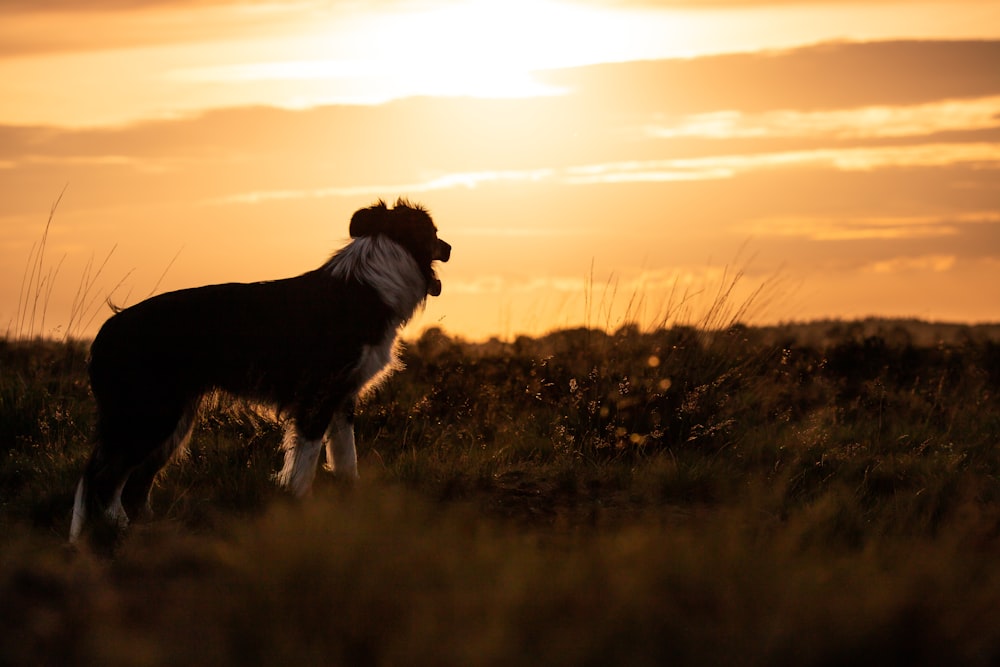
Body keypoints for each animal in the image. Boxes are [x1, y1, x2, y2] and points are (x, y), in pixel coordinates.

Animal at [72, 197, 456, 544]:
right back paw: (115, 532)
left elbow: (346, 459)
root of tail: (106, 332)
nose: (450, 247)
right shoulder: (317, 395)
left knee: (132, 481)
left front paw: (353, 506)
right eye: (434, 233)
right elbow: (305, 462)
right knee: (101, 478)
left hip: (172, 421)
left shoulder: (343, 396)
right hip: (151, 414)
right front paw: (301, 509)